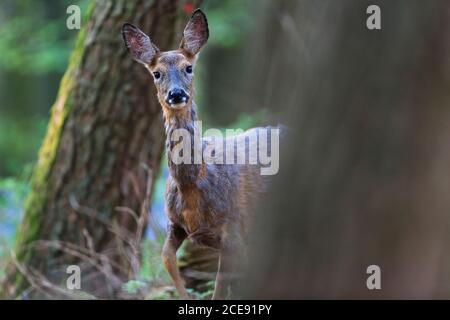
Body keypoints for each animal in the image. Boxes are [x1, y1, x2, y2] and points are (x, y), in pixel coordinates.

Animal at [121, 8, 280, 298]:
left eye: (189, 67)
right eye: (156, 73)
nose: (176, 94)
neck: (193, 186)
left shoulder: (234, 230)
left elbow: (222, 286)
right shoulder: (174, 224)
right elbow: (167, 259)